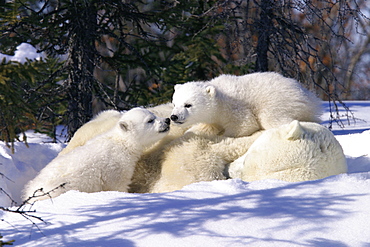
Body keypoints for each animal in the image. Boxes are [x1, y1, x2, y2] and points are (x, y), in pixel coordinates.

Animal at [21, 108, 169, 201]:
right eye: (150, 120)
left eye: (153, 114)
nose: (167, 120)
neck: (121, 143)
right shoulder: (115, 167)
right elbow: (118, 185)